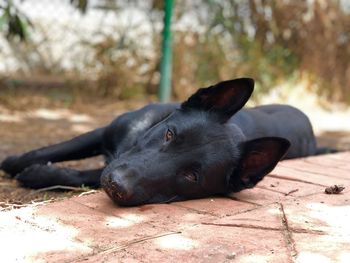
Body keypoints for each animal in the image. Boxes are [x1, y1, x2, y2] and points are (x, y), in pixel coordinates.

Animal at [0, 78, 318, 206]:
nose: (116, 185)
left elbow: (80, 174)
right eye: (169, 134)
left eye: (191, 176)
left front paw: (41, 174)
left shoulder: (109, 164)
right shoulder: (102, 133)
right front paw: (13, 162)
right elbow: (49, 150)